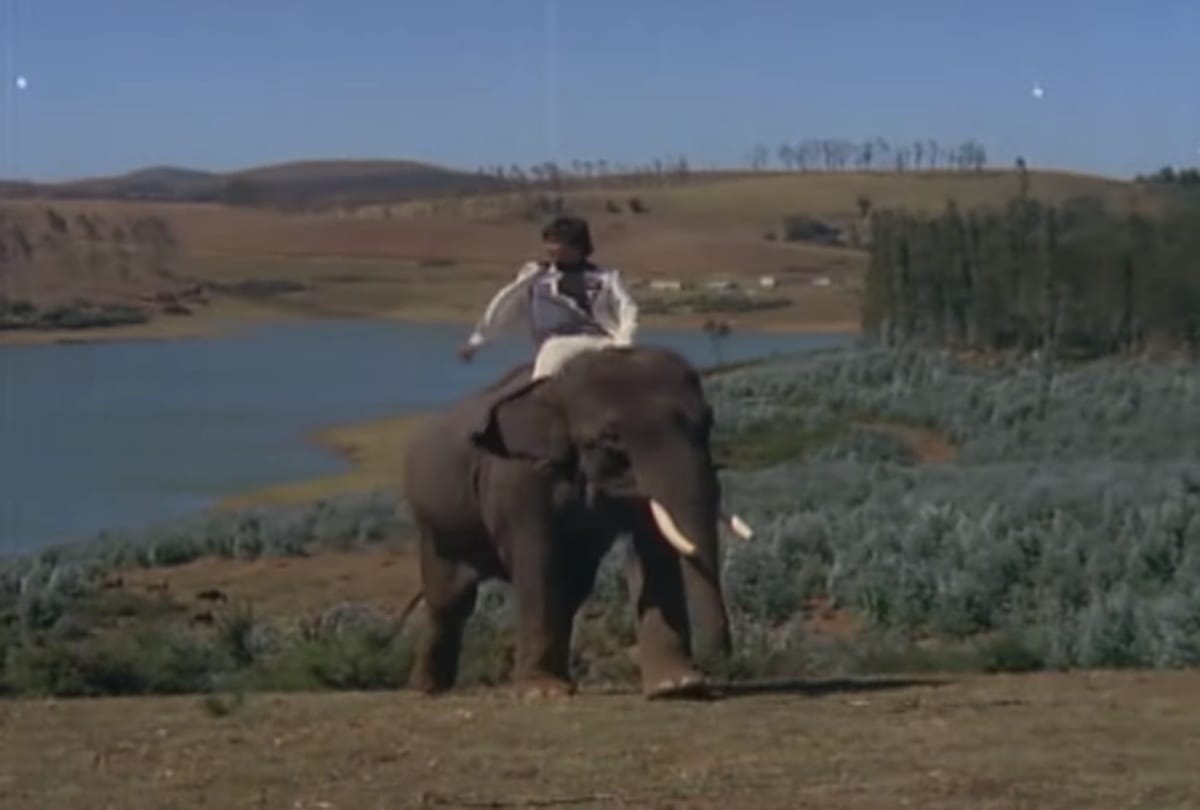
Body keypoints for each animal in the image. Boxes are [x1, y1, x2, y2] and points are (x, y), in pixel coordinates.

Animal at [400, 343, 745, 700]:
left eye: (709, 421)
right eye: (611, 438)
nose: (718, 663)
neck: (559, 388)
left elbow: (654, 550)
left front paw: (677, 686)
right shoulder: (520, 476)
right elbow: (536, 556)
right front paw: (542, 694)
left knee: (570, 590)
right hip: (436, 527)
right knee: (450, 600)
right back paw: (427, 689)